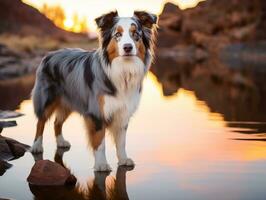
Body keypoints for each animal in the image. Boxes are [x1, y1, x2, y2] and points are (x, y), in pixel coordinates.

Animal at [30, 10, 157, 171]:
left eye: (136, 34)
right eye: (117, 34)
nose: (128, 47)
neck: (122, 71)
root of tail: (49, 54)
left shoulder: (122, 112)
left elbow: (121, 141)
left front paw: (123, 159)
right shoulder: (96, 113)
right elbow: (100, 142)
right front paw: (101, 164)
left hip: (69, 101)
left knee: (57, 122)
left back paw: (61, 142)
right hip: (47, 99)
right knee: (40, 122)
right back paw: (36, 146)